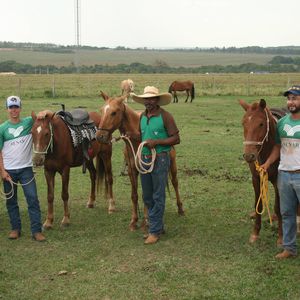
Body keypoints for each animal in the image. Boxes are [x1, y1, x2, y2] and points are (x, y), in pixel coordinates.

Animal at [96, 91, 185, 230]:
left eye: (114, 112)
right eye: (101, 110)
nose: (100, 136)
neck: (135, 140)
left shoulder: (146, 170)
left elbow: (146, 195)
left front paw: (147, 220)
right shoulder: (132, 171)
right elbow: (135, 195)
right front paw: (134, 220)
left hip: (173, 165)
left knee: (175, 183)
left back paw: (180, 209)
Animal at [239, 99, 284, 245]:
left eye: (261, 124)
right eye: (243, 123)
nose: (249, 156)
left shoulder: (278, 180)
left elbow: (278, 207)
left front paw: (281, 237)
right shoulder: (256, 178)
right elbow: (257, 206)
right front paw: (255, 233)